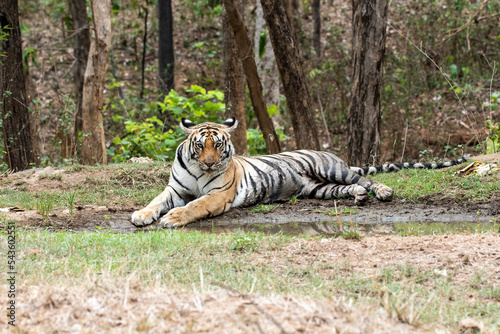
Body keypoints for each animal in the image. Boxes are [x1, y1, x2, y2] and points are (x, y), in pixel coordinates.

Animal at [131, 116, 466, 228]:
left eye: (219, 145)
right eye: (200, 146)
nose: (211, 163)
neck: (199, 171)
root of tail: (332, 155)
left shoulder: (217, 195)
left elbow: (195, 205)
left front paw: (173, 218)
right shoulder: (175, 189)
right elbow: (155, 201)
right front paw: (141, 215)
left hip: (331, 169)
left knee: (366, 178)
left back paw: (382, 191)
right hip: (318, 188)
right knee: (350, 188)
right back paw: (358, 197)